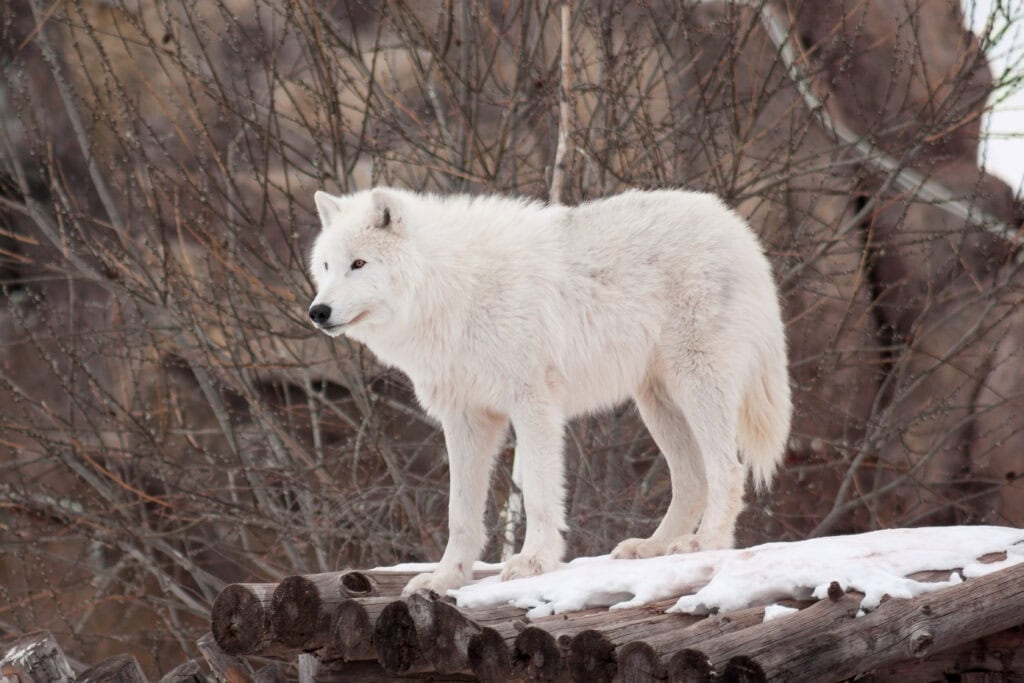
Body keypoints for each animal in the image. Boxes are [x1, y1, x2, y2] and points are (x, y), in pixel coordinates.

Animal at [307, 189, 786, 593]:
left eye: (359, 264)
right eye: (326, 266)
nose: (318, 312)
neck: (452, 286)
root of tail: (735, 225)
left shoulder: (533, 404)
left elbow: (538, 493)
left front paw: (533, 562)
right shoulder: (466, 420)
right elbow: (460, 513)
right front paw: (446, 578)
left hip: (697, 383)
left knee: (727, 470)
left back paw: (705, 542)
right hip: (657, 403)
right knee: (692, 479)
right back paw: (651, 546)